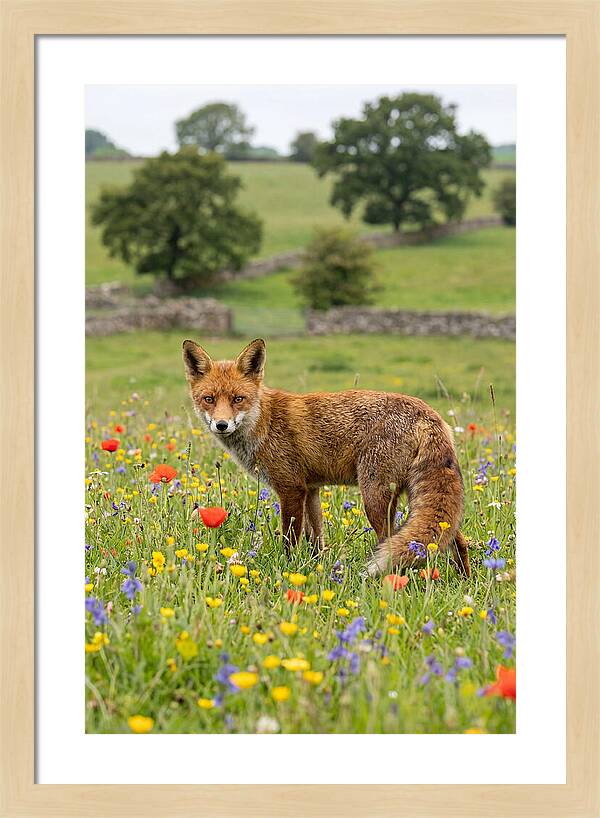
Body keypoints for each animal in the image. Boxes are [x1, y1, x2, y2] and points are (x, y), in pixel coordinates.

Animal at [182, 337, 470, 578]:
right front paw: (316, 568)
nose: (221, 425)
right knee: (456, 540)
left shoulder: (291, 488)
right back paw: (464, 580)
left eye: (238, 399)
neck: (264, 422)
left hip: (374, 496)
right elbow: (316, 539)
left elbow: (290, 539)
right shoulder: (311, 489)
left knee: (389, 542)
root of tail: (428, 413)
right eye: (209, 399)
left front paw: (288, 569)